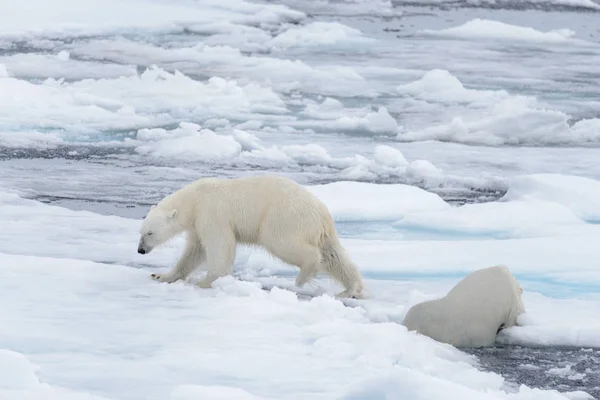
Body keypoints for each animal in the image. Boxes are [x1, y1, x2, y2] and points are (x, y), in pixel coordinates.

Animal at [136, 173, 366, 298]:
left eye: (150, 232)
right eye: (141, 232)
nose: (141, 250)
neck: (194, 200)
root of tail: (321, 212)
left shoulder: (211, 213)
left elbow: (220, 246)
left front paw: (207, 282)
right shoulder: (197, 223)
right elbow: (194, 251)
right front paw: (161, 276)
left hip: (283, 218)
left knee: (283, 243)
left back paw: (303, 277)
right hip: (320, 231)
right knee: (335, 256)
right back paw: (351, 289)